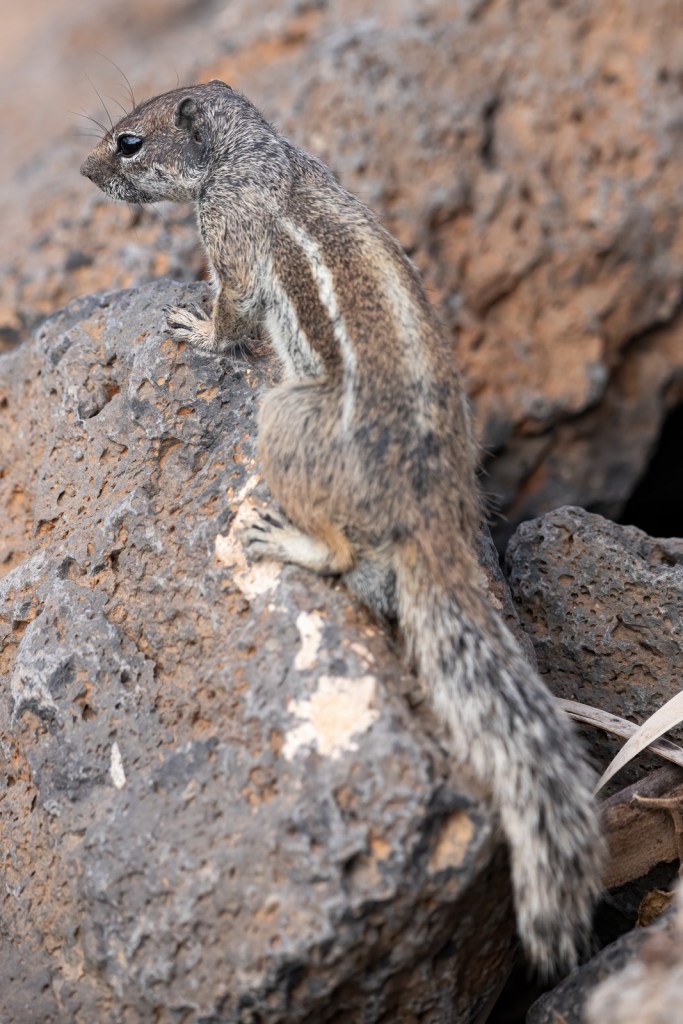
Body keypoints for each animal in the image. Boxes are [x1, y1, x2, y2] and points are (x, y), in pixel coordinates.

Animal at [81, 80, 603, 972]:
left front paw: (196, 328)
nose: (84, 173)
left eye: (128, 143)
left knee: (339, 556)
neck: (255, 155)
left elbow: (231, 310)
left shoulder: (231, 240)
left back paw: (282, 538)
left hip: (282, 420)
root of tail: (432, 515)